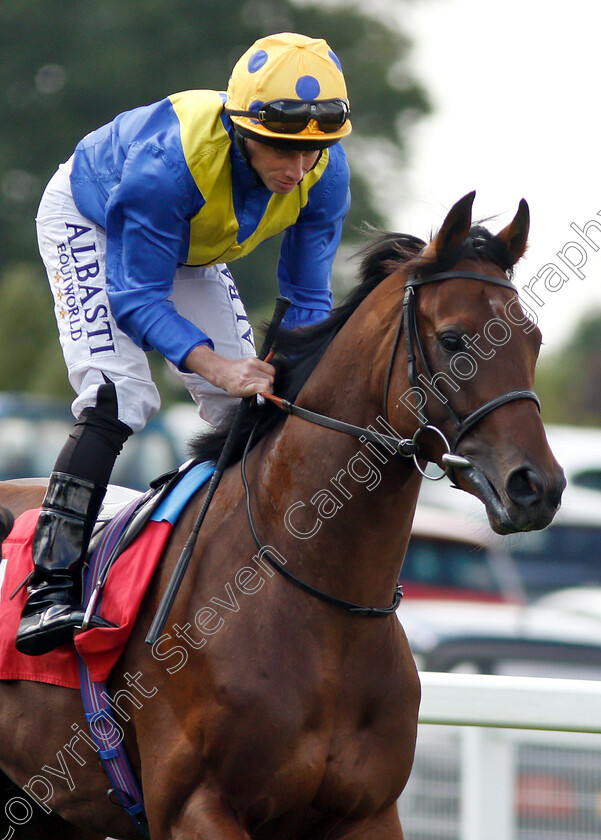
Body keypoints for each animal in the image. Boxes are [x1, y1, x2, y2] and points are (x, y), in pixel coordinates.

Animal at [0, 192, 564, 840]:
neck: (318, 599)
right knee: (110, 396)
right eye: (452, 340)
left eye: (534, 340)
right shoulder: (196, 807)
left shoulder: (369, 812)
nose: (538, 486)